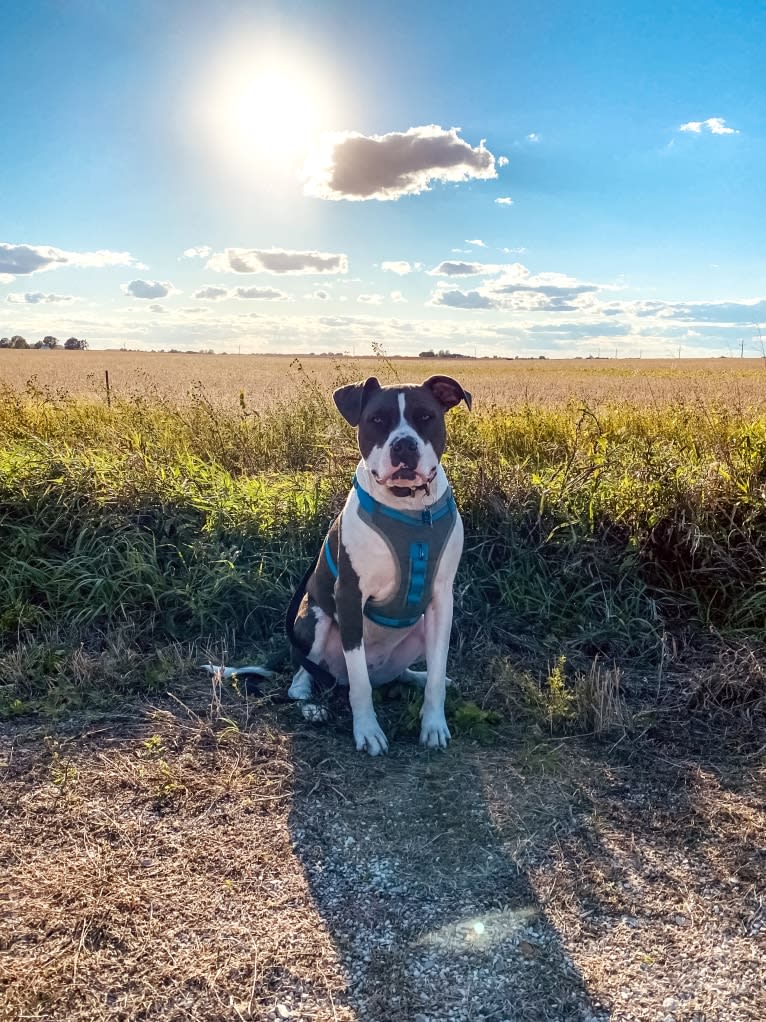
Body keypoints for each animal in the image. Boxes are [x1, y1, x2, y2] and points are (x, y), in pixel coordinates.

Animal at [285, 372, 471, 756]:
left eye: (425, 417)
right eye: (377, 420)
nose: (404, 445)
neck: (410, 509)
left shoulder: (441, 599)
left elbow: (437, 672)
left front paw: (434, 724)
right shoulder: (349, 597)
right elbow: (360, 684)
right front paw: (367, 730)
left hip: (420, 627)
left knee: (404, 673)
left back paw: (417, 677)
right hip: (315, 618)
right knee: (303, 675)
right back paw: (311, 706)